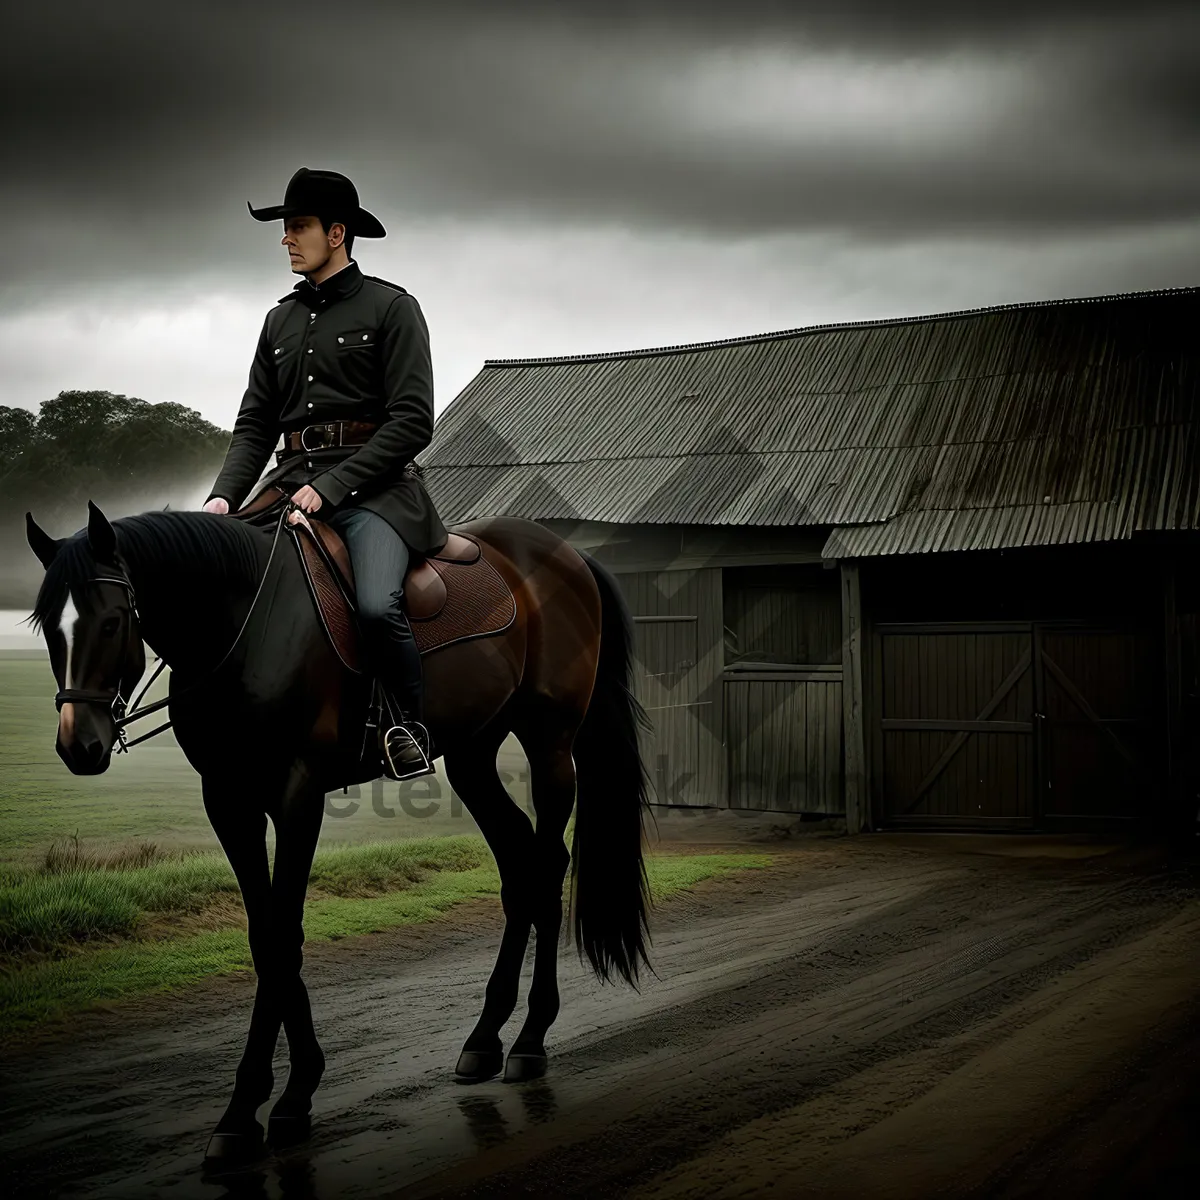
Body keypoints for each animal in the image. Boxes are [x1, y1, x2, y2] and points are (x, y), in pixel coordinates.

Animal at [23, 496, 652, 1161]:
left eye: (113, 621)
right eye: (47, 628)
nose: (80, 746)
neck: (241, 627)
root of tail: (565, 552)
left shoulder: (298, 797)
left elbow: (284, 935)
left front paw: (285, 1098)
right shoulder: (229, 802)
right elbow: (264, 938)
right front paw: (253, 1107)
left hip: (550, 742)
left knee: (547, 867)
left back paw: (530, 1039)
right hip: (474, 754)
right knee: (519, 871)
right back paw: (485, 1039)